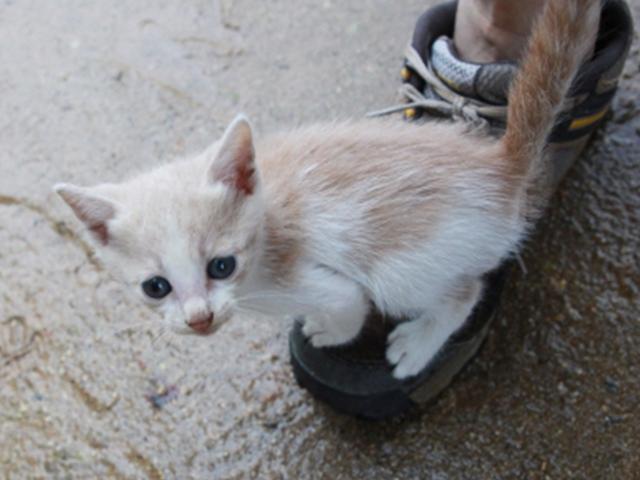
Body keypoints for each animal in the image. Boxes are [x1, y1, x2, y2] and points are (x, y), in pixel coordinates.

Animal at [55, 0, 600, 380]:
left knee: (465, 292)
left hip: (405, 270)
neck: (267, 226)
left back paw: (421, 342)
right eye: (155, 287)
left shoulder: (325, 282)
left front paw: (329, 331)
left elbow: (348, 306)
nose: (199, 319)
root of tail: (499, 163)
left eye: (222, 266)